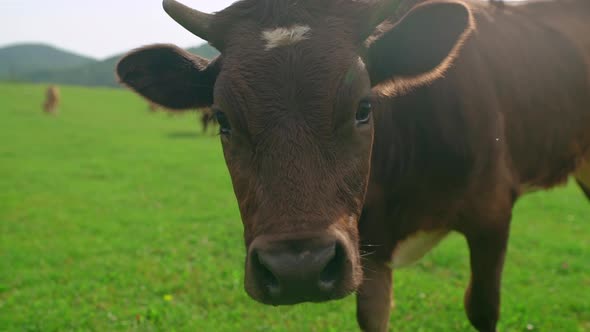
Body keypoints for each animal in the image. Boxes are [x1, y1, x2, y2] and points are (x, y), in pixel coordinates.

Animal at [115, 0, 590, 330]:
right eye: (223, 119)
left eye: (364, 108)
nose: (298, 269)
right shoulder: (370, 248)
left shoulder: (492, 213)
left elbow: (482, 308)